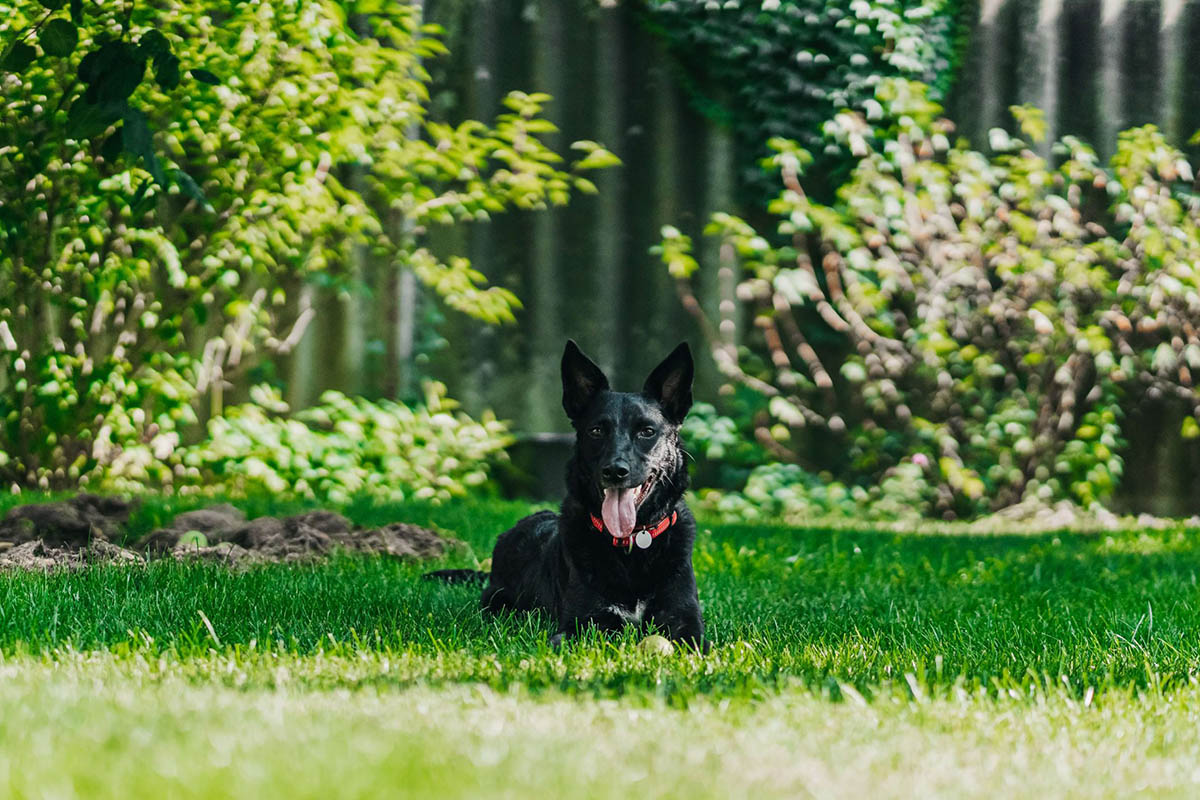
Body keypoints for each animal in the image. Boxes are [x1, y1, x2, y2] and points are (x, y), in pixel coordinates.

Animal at [427, 343, 700, 652]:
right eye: (596, 430)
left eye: (647, 431)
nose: (615, 471)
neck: (631, 544)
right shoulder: (583, 622)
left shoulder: (685, 619)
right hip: (497, 600)